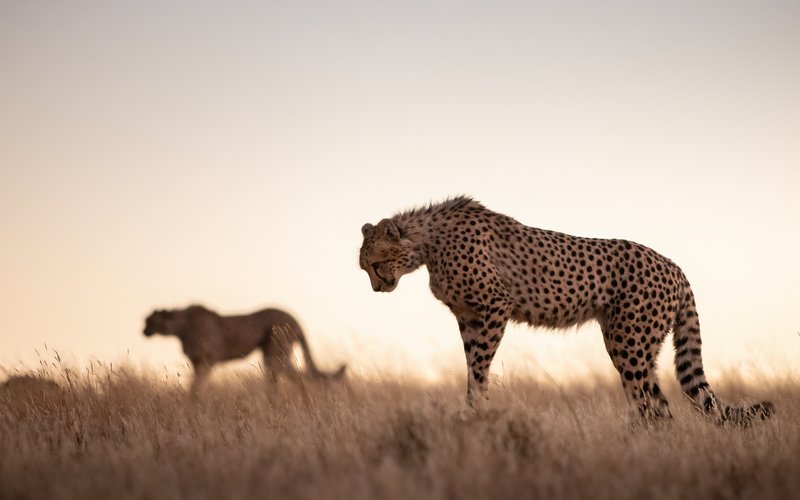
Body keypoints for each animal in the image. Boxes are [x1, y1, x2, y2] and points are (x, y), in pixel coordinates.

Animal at [143, 305, 346, 392]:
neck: (180, 326)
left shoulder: (207, 361)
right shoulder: (197, 362)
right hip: (273, 355)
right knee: (282, 378)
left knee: (296, 375)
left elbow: (196, 387)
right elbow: (195, 386)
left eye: (149, 321)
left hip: (275, 354)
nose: (143, 331)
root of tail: (294, 317)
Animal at [359, 196, 773, 425]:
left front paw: (474, 409)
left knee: (647, 401)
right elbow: (471, 367)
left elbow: (478, 368)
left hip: (629, 343)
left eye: (375, 265)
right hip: (634, 344)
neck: (427, 243)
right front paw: (473, 409)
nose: (377, 288)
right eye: (365, 269)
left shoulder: (494, 307)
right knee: (660, 404)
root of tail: (673, 265)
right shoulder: (469, 317)